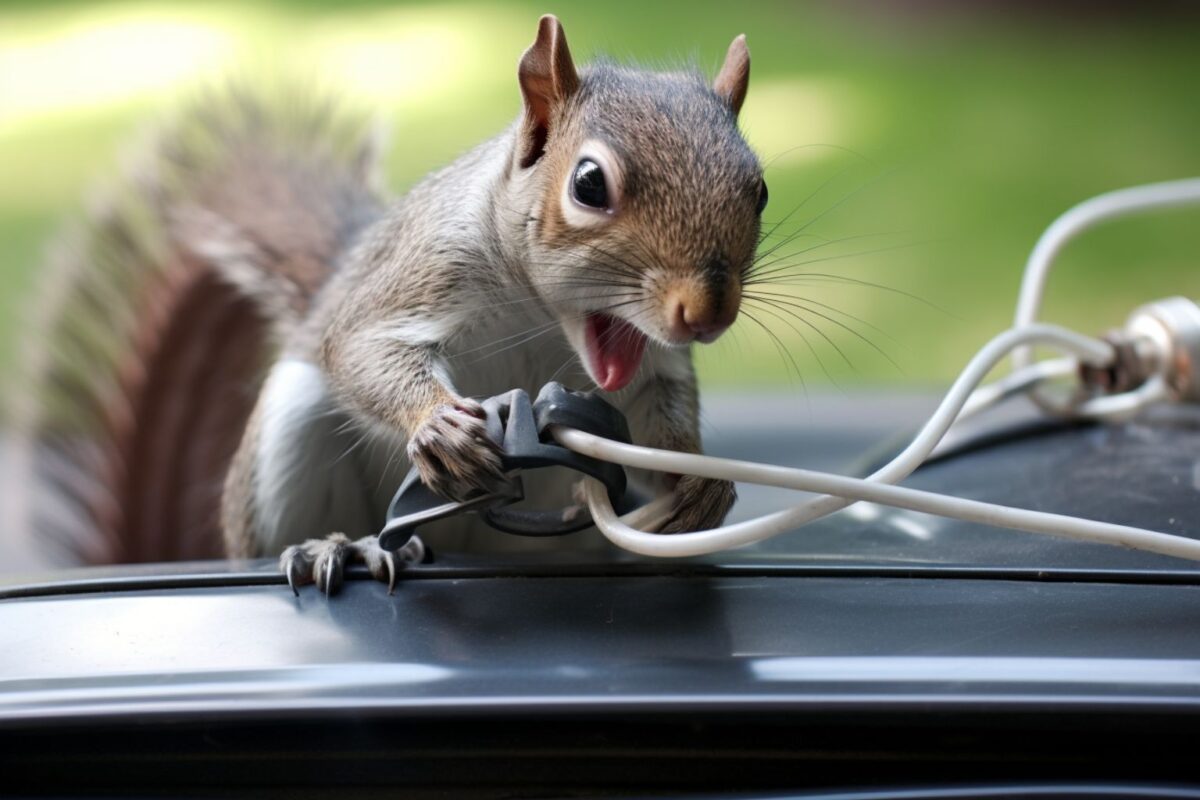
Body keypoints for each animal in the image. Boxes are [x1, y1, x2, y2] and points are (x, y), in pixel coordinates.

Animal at [11, 14, 768, 587]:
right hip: (292, 432)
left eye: (758, 189)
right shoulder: (417, 274)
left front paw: (700, 483)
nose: (706, 313)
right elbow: (362, 348)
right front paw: (438, 429)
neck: (541, 320)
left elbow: (665, 404)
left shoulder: (651, 366)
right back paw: (340, 547)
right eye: (588, 184)